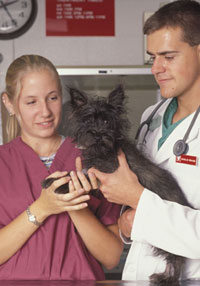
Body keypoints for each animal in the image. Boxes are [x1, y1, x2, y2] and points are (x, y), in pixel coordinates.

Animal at [42, 85, 191, 284]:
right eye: (88, 121)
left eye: (106, 121)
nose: (98, 134)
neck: (103, 150)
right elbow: (74, 173)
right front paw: (54, 179)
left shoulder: (106, 173)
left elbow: (79, 178)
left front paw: (58, 184)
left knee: (177, 258)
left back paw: (168, 277)